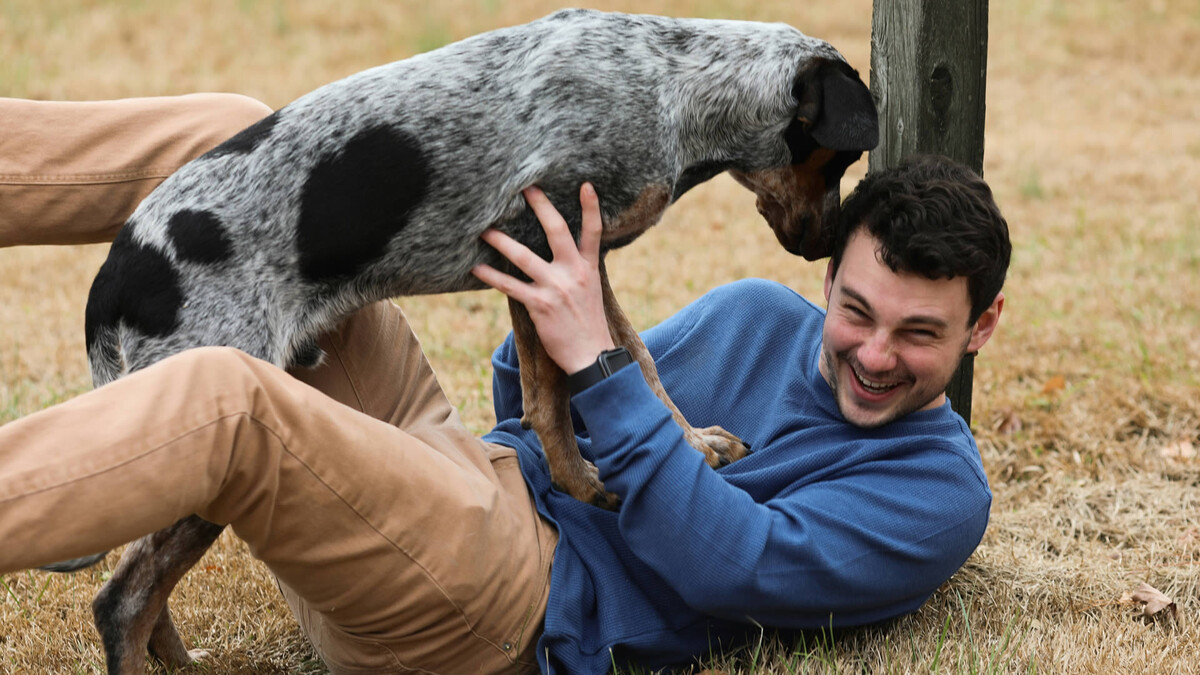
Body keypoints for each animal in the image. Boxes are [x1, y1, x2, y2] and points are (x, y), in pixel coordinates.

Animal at [51, 7, 878, 667]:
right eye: (842, 156)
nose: (828, 244)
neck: (670, 86)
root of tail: (116, 269)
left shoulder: (586, 257)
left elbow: (634, 357)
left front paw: (692, 444)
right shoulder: (538, 248)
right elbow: (555, 394)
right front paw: (585, 484)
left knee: (144, 588)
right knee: (121, 599)